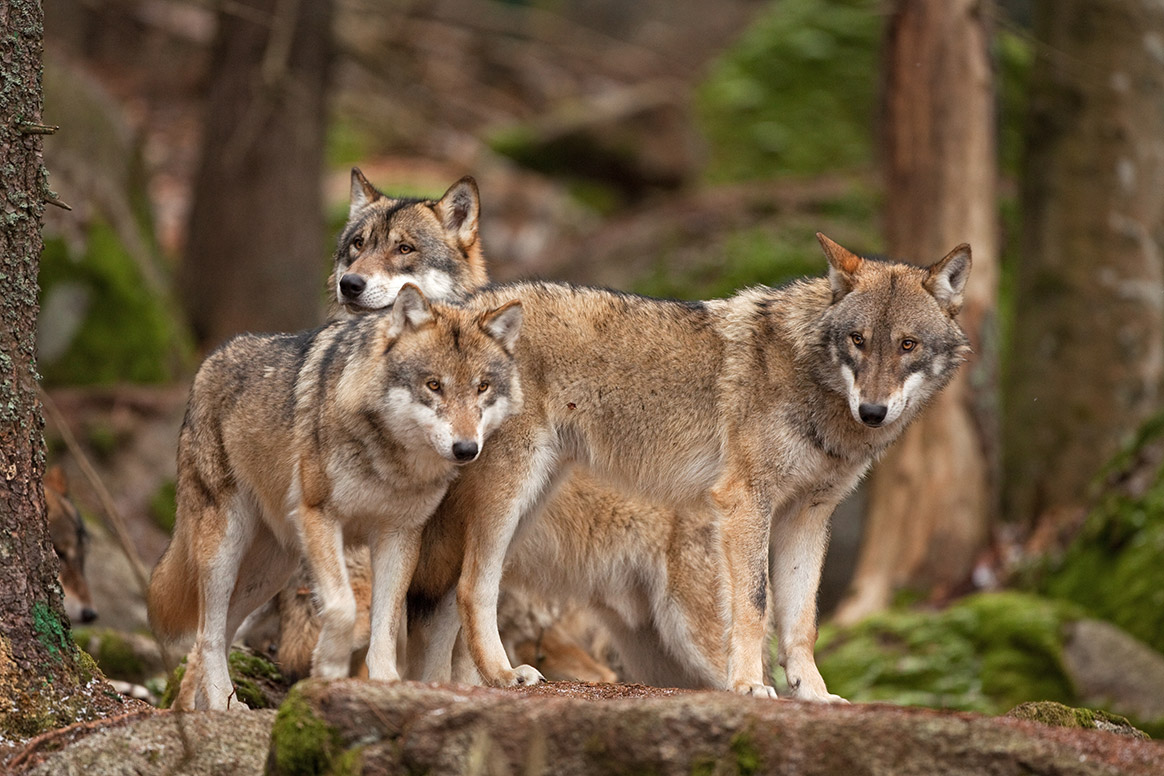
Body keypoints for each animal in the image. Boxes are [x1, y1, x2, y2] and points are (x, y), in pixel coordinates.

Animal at [146, 285, 523, 712]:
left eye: (482, 387)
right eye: (434, 385)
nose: (466, 449)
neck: (391, 462)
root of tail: (210, 360)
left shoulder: (399, 536)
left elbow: (385, 626)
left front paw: (386, 684)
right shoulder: (320, 517)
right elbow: (342, 608)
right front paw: (326, 667)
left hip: (270, 572)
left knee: (217, 632)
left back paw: (208, 705)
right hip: (224, 551)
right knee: (207, 633)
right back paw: (223, 706)